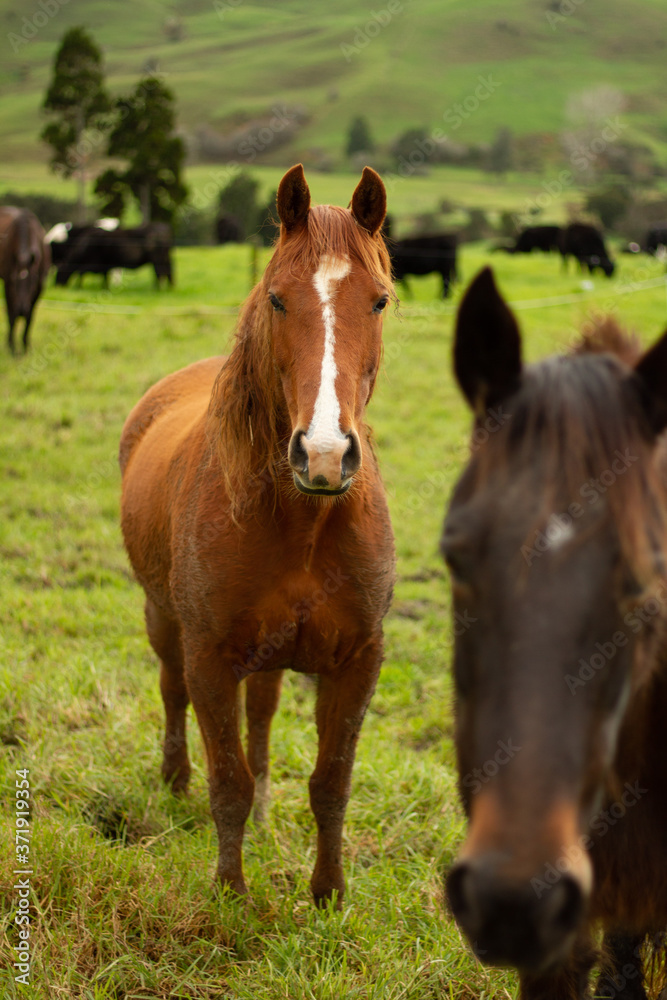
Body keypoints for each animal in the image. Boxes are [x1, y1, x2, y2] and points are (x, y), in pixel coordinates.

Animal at [0, 205, 51, 354]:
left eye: (33, 281)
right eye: (13, 281)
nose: (21, 310)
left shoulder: (40, 286)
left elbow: (30, 318)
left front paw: (25, 346)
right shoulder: (7, 283)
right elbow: (11, 315)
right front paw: (11, 346)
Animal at [120, 166, 396, 908]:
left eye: (379, 300)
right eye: (277, 297)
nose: (324, 454)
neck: (303, 519)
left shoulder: (357, 661)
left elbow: (330, 783)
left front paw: (328, 895)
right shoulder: (210, 658)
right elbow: (227, 781)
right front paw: (229, 894)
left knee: (264, 717)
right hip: (163, 621)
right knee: (171, 691)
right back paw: (173, 781)